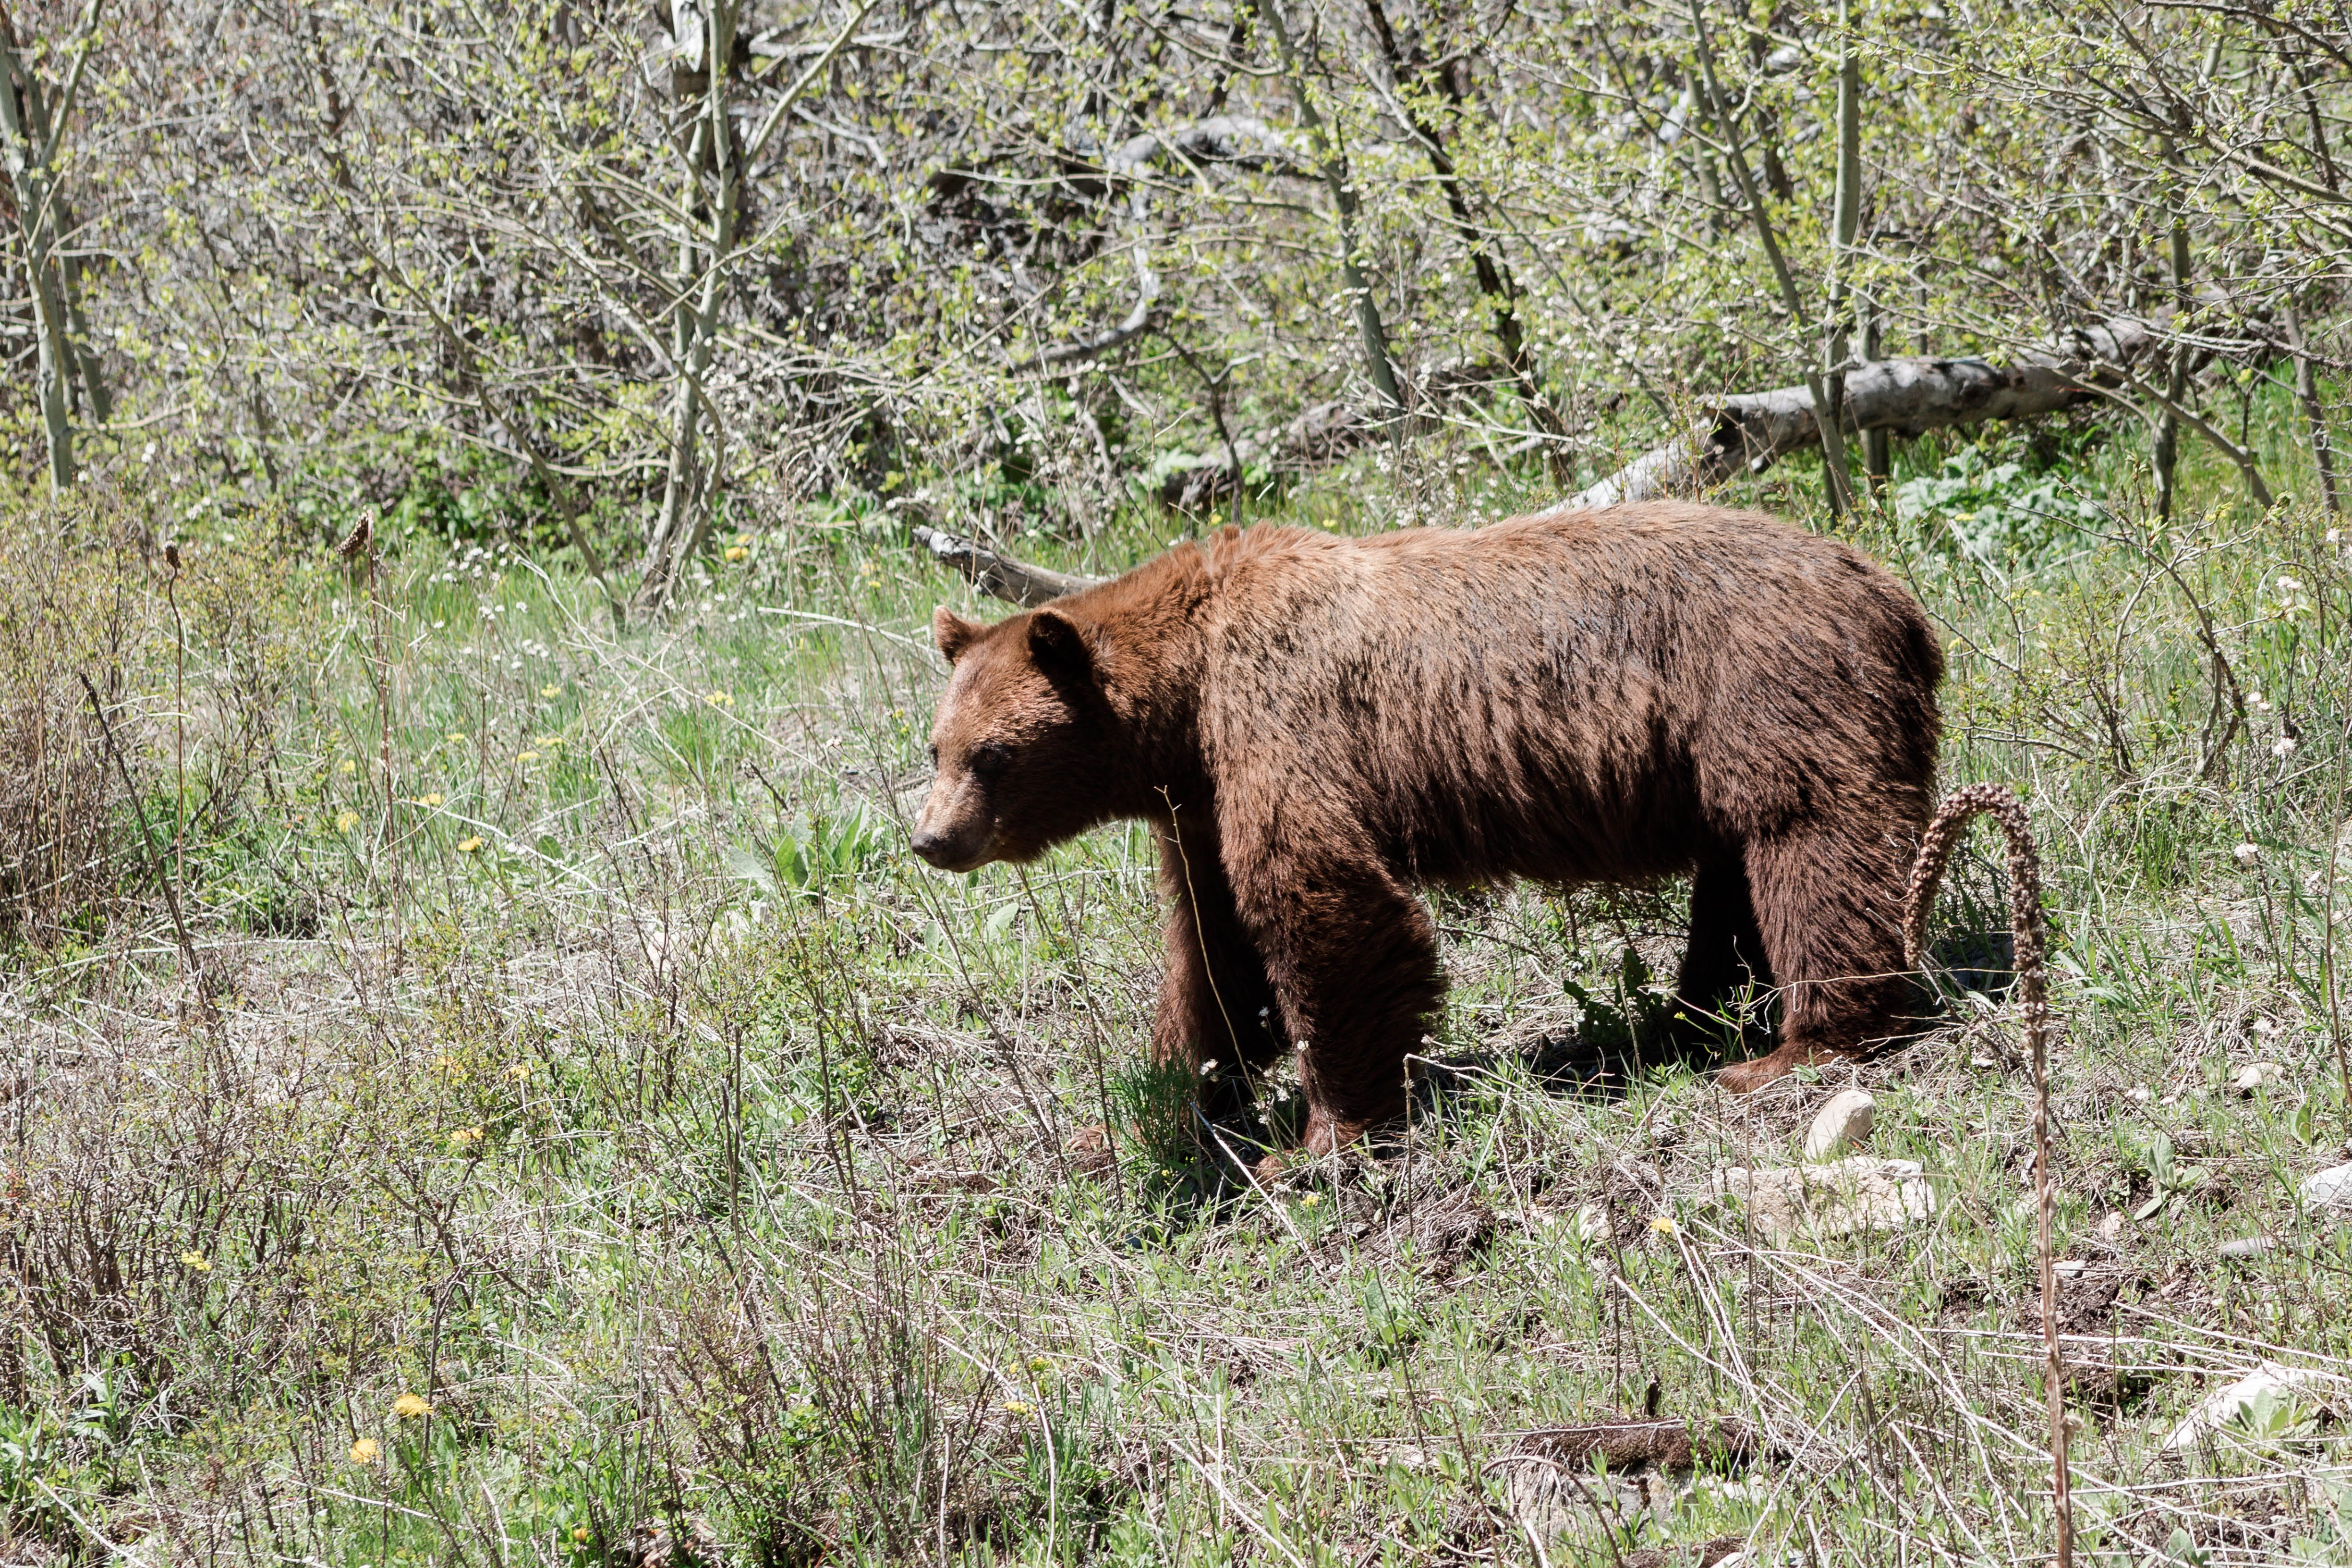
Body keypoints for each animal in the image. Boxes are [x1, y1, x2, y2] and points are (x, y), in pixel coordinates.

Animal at [908, 503, 1938, 1152]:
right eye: (936, 746)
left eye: (993, 756)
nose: (931, 840)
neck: (1185, 699)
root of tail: (1898, 598)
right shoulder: (1197, 802)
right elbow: (1212, 955)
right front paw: (1147, 1110)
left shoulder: (1280, 724)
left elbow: (1323, 904)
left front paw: (1323, 1136)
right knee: (1735, 874)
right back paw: (1697, 1016)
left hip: (1768, 688)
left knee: (1810, 843)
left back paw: (1793, 1047)